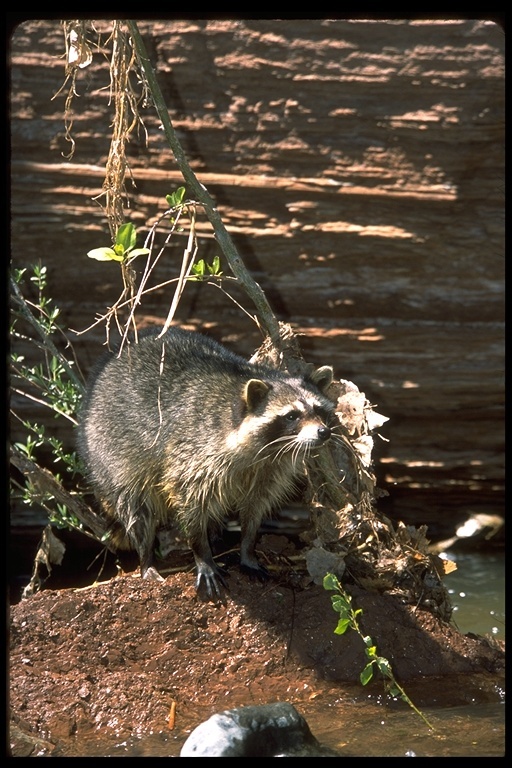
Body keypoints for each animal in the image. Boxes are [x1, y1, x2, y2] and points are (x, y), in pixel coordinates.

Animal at [77, 324, 336, 600]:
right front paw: (202, 554)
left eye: (319, 411)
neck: (266, 450)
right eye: (291, 416)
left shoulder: (269, 470)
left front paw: (247, 548)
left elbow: (255, 507)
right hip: (109, 453)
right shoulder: (194, 451)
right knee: (136, 508)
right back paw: (147, 558)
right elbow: (190, 502)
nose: (323, 433)